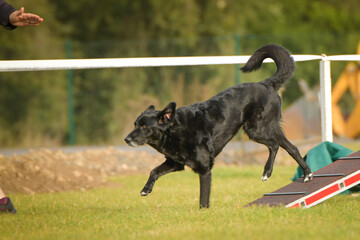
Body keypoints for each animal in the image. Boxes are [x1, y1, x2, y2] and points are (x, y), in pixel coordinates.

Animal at [124, 43, 312, 208]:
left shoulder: (205, 169)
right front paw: (146, 190)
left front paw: (204, 212)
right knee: (292, 148)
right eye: (135, 124)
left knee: (274, 145)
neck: (175, 131)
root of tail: (265, 84)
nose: (126, 139)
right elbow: (154, 171)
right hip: (269, 128)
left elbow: (203, 197)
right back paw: (307, 174)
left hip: (255, 129)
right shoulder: (176, 163)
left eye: (144, 127)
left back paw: (267, 172)